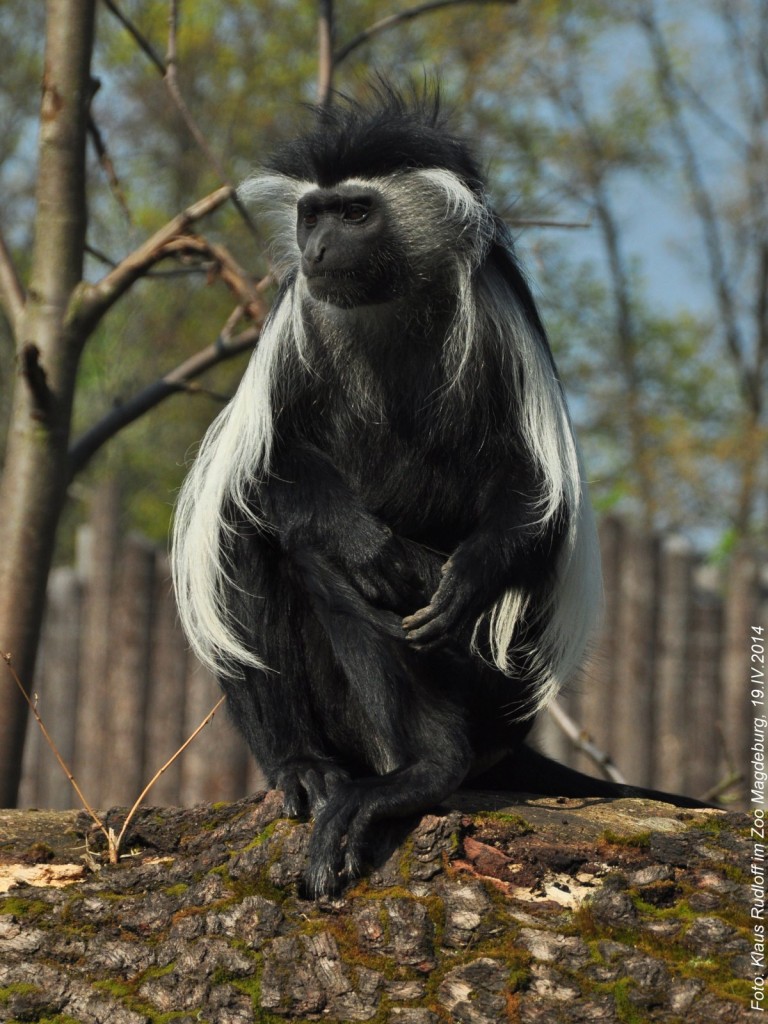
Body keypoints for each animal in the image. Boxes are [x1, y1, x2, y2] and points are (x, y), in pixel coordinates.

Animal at [174, 83, 704, 892]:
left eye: (356, 213)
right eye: (313, 214)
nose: (317, 249)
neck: (389, 300)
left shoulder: (497, 311)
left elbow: (536, 495)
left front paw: (469, 578)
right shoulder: (298, 318)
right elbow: (263, 475)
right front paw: (363, 541)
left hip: (491, 679)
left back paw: (422, 771)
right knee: (264, 541)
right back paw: (307, 766)